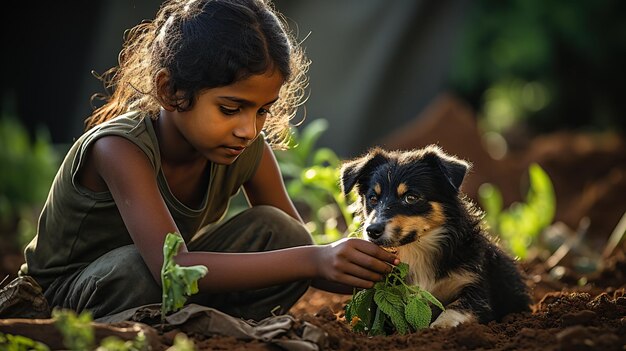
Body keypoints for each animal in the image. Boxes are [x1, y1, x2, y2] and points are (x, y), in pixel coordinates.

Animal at [338, 144, 528, 328]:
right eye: (372, 198)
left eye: (411, 197)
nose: (372, 231)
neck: (417, 249)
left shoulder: (476, 288)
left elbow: (457, 306)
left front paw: (441, 326)